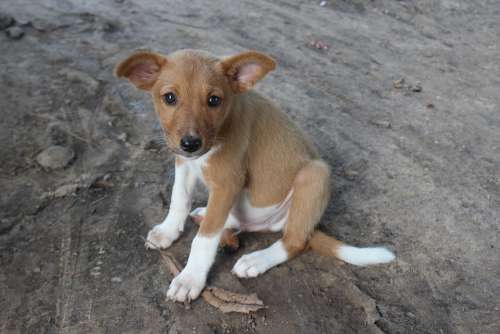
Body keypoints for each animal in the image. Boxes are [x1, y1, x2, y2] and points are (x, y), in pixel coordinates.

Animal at [115, 49, 396, 302]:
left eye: (214, 100)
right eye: (170, 98)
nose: (191, 143)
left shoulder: (227, 183)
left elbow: (204, 239)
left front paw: (190, 278)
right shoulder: (184, 163)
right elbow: (178, 199)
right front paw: (168, 231)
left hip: (315, 175)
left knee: (295, 241)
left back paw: (257, 259)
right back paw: (209, 215)